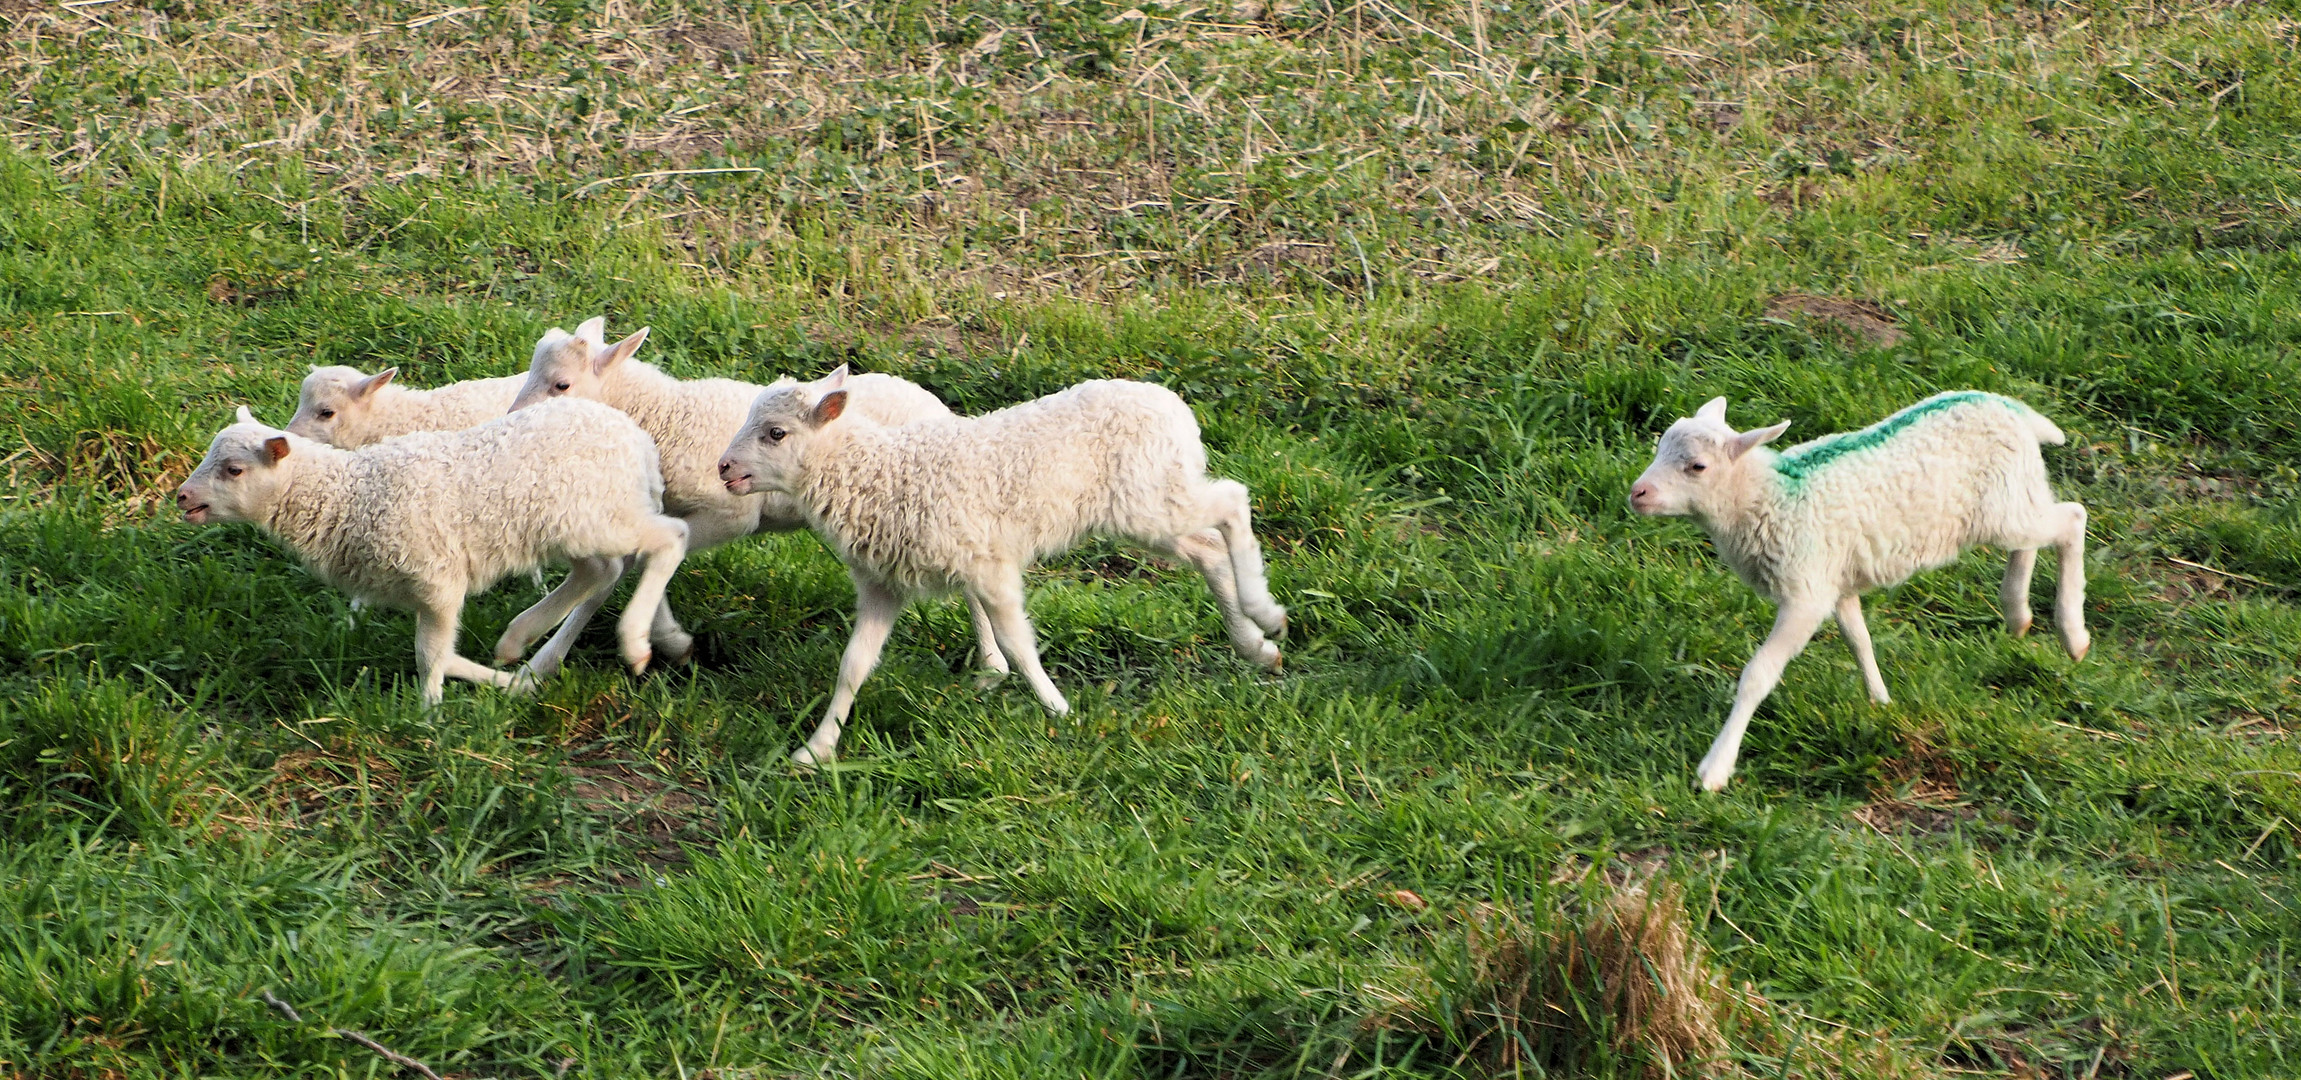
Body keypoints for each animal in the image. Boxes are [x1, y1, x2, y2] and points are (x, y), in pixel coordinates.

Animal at [176, 400, 685, 704]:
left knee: (668, 539)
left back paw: (634, 642)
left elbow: (429, 655)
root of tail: (639, 443)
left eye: (234, 469)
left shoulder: (438, 580)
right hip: (574, 527)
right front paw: (509, 684)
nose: (181, 496)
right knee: (599, 573)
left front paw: (428, 714)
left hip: (601, 516)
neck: (351, 494)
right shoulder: (422, 589)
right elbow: (443, 653)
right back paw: (521, 643)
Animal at [503, 315, 1007, 677]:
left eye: (562, 385)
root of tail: (941, 407)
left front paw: (661, 639)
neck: (665, 415)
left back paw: (992, 664)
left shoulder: (731, 512)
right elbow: (620, 576)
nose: (512, 424)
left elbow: (644, 564)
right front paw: (539, 664)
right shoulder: (663, 510)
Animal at [717, 368, 1297, 764]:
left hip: (1148, 499)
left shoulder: (989, 567)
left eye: (775, 433)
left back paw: (1265, 613)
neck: (881, 471)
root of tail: (1176, 407)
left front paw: (1059, 709)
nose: (723, 468)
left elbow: (1018, 643)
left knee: (1231, 502)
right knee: (1208, 548)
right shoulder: (884, 582)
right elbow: (853, 665)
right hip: (1149, 507)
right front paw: (815, 750)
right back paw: (1257, 646)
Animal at [1629, 391, 2098, 787]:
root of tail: (2011, 407)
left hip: (2003, 505)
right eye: (1659, 448)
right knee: (2034, 534)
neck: (1770, 498)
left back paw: (2073, 633)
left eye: (1698, 467)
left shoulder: (1806, 592)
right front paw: (1881, 701)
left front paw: (1714, 768)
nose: (1637, 493)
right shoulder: (1835, 581)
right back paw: (2018, 613)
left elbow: (1758, 675)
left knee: (2072, 519)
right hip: (2011, 501)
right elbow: (1859, 640)